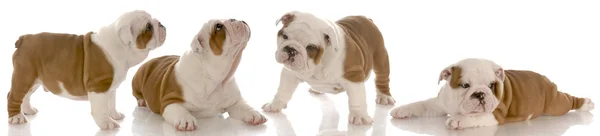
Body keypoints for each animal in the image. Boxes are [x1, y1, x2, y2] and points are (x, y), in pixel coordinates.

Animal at [6, 9, 166, 130]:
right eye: (148, 27)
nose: (160, 23)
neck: (119, 45)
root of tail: (24, 39)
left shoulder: (111, 88)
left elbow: (111, 103)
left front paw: (114, 115)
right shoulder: (99, 87)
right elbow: (101, 108)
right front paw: (107, 123)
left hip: (34, 80)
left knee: (25, 96)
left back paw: (27, 111)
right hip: (24, 76)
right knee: (13, 96)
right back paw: (17, 118)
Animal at [132, 18, 266, 131]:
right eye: (218, 26)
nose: (237, 19)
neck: (217, 79)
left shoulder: (234, 101)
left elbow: (243, 105)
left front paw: (254, 114)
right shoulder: (169, 101)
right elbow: (179, 109)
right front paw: (186, 120)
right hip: (137, 78)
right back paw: (142, 101)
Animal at [262, 10, 394, 125]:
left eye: (310, 47)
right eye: (284, 36)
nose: (291, 49)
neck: (317, 65)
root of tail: (367, 19)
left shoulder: (353, 76)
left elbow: (357, 98)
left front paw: (359, 116)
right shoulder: (290, 73)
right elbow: (283, 90)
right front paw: (274, 105)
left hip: (380, 57)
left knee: (382, 78)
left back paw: (384, 97)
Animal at [390, 58, 596, 129]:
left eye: (491, 85)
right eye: (465, 85)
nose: (480, 94)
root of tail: (545, 79)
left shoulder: (496, 114)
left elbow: (476, 116)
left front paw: (459, 120)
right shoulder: (439, 103)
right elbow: (422, 104)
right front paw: (402, 110)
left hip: (555, 103)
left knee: (568, 100)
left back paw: (586, 103)